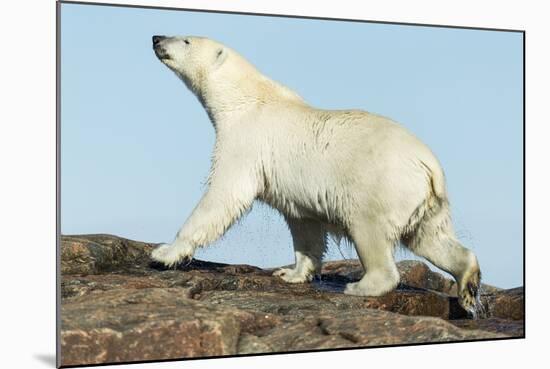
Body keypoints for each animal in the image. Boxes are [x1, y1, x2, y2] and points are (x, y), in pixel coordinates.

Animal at [151, 34, 484, 312]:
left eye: (186, 40)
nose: (156, 37)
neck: (245, 97)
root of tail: (429, 164)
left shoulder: (246, 142)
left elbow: (224, 195)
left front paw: (164, 252)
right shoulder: (296, 191)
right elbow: (305, 225)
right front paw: (291, 273)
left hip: (381, 185)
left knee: (370, 231)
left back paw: (360, 286)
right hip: (422, 200)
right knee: (429, 237)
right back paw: (468, 282)